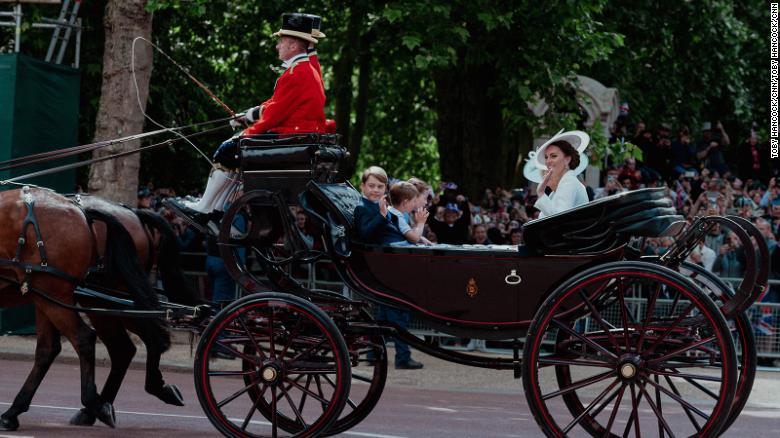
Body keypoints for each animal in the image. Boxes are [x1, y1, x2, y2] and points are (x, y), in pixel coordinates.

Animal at [0, 186, 161, 432]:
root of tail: (81, 213)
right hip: (52, 297)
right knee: (53, 349)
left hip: (58, 294)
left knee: (86, 339)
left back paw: (95, 404)